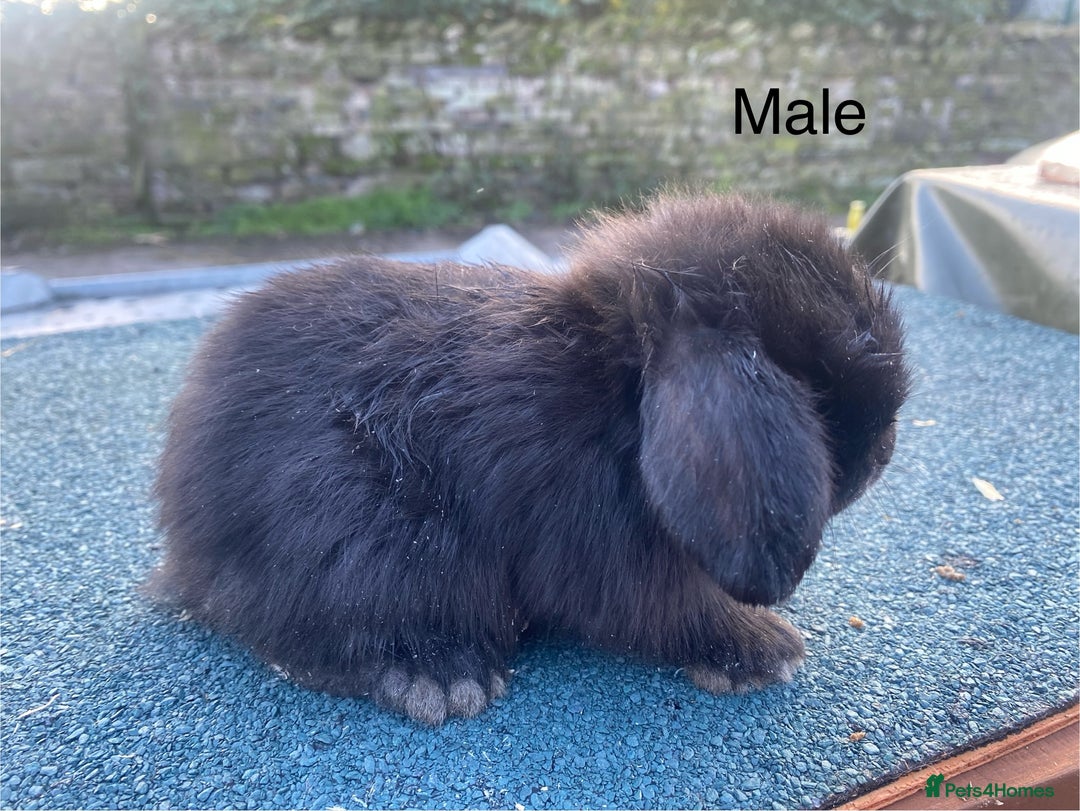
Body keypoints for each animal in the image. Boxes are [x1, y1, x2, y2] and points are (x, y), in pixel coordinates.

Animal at [150, 192, 910, 725]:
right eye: (817, 387)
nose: (884, 454)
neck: (613, 388)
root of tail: (187, 547)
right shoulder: (608, 553)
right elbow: (676, 612)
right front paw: (761, 648)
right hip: (367, 538)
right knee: (299, 628)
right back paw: (439, 674)